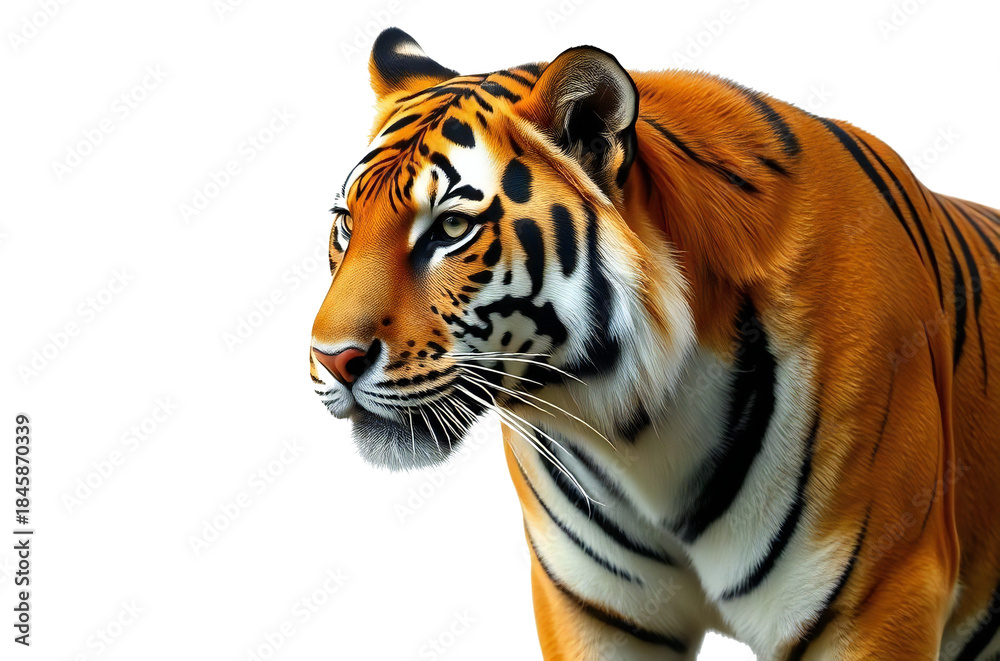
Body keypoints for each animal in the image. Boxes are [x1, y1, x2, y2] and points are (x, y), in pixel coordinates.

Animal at [309, 27, 1000, 660]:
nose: (331, 359)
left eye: (451, 227)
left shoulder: (877, 599)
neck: (639, 430)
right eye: (346, 224)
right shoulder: (593, 611)